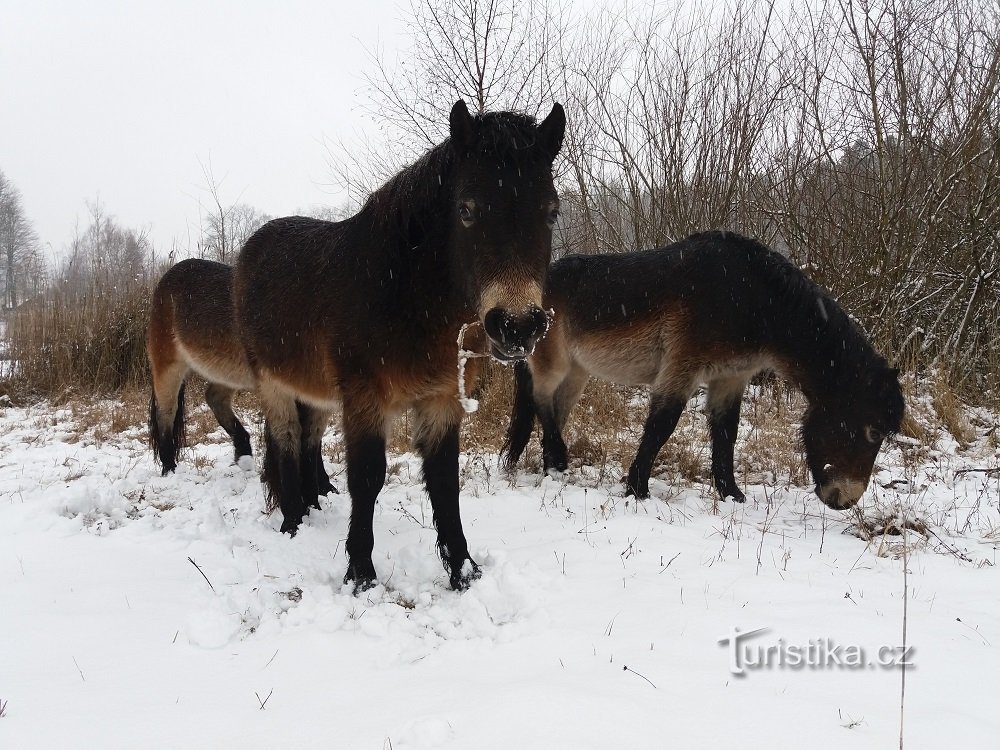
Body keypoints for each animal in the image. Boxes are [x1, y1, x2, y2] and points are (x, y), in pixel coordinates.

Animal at [146, 262, 336, 496]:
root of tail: (167, 276)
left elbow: (314, 441)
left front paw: (325, 487)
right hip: (169, 367)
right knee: (166, 414)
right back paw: (169, 469)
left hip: (226, 373)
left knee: (214, 398)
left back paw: (243, 452)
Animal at [230, 100, 568, 592]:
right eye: (466, 209)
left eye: (551, 212)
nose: (517, 326)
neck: (402, 294)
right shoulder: (365, 398)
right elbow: (368, 477)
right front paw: (361, 574)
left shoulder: (441, 400)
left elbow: (444, 481)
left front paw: (464, 572)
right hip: (273, 386)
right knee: (288, 442)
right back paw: (292, 523)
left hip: (315, 392)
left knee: (308, 439)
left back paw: (314, 505)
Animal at [504, 231, 904, 512]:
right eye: (872, 430)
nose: (846, 500)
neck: (753, 300)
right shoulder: (681, 369)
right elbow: (661, 426)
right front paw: (637, 490)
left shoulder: (730, 378)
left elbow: (726, 433)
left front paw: (732, 494)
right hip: (554, 364)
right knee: (542, 400)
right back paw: (557, 459)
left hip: (578, 372)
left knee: (554, 410)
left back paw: (550, 467)